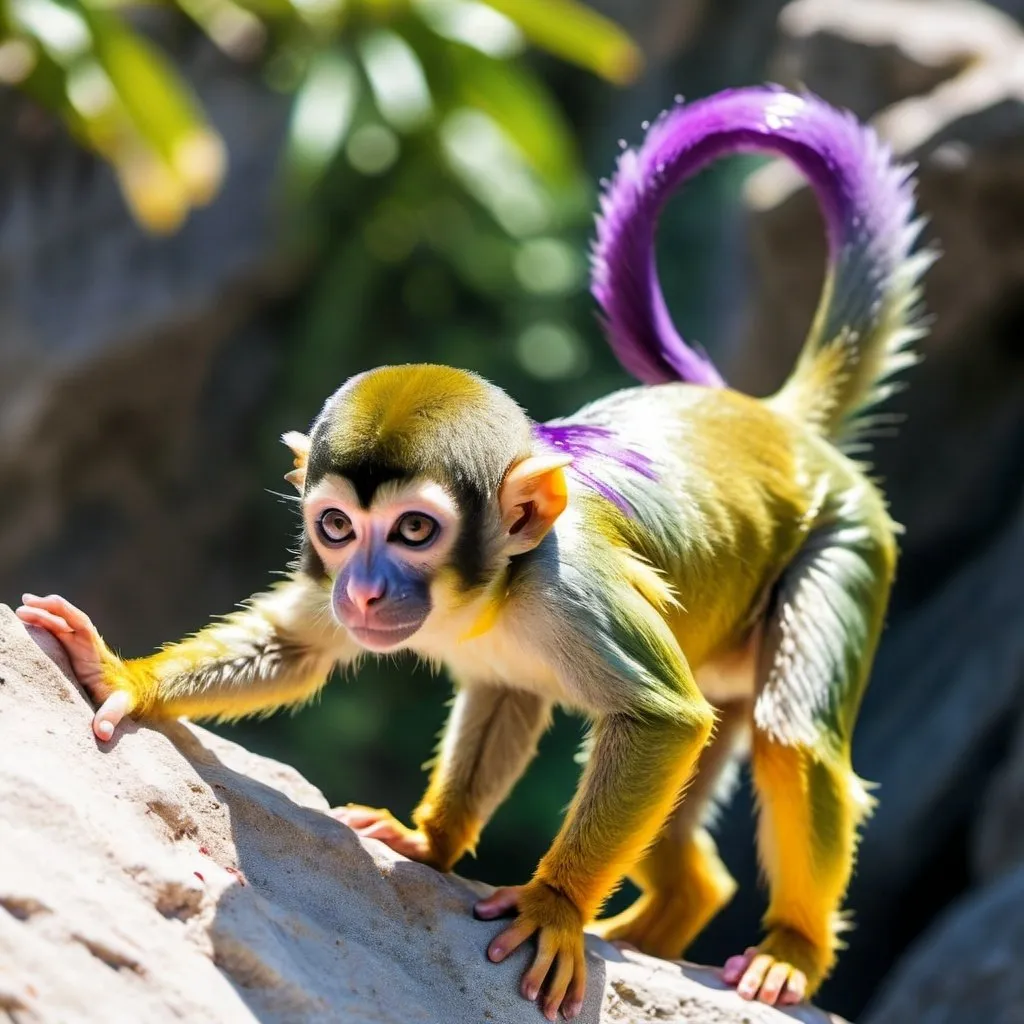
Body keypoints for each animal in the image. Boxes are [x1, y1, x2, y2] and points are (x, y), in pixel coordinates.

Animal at [18, 86, 929, 1015]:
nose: (365, 590)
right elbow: (300, 651)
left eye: (414, 530)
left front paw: (553, 906)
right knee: (520, 689)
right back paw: (574, 878)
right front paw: (119, 675)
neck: (489, 591)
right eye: (337, 527)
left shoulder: (574, 591)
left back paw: (791, 950)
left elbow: (662, 723)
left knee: (785, 732)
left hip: (847, 535)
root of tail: (774, 423)